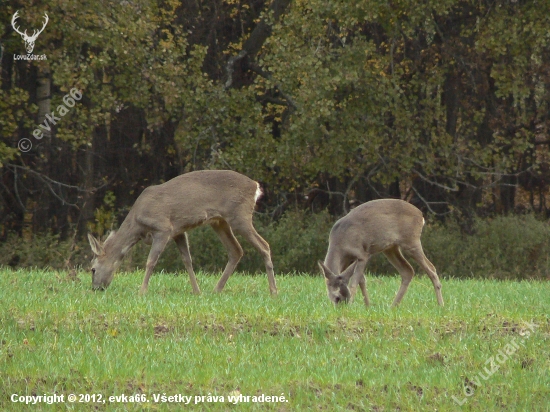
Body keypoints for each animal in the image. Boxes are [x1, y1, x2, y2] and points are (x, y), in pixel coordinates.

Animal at [88, 169, 278, 294]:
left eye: (92, 269)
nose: (96, 288)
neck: (137, 224)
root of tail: (255, 186)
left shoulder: (163, 228)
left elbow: (151, 261)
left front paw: (142, 291)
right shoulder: (179, 232)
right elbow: (187, 260)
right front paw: (197, 291)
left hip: (239, 216)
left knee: (264, 245)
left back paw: (273, 291)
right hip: (219, 221)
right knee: (236, 250)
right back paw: (216, 290)